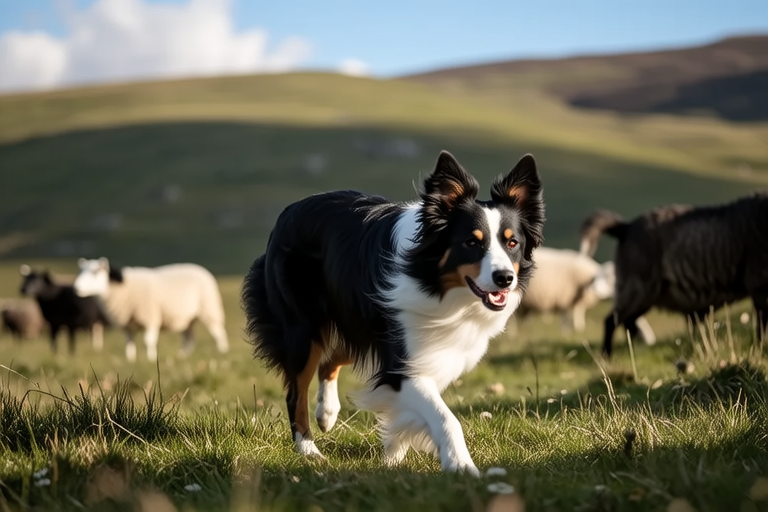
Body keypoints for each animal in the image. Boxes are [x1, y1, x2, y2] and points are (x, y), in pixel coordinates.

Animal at [73, 257, 230, 362]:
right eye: (81, 271)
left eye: (95, 272)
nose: (76, 287)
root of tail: (200, 269)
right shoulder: (128, 325)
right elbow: (129, 343)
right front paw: (130, 360)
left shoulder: (151, 318)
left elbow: (148, 341)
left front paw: (151, 359)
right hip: (186, 319)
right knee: (189, 337)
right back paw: (183, 355)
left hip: (209, 309)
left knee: (218, 332)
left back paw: (222, 351)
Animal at [580, 192, 768, 357]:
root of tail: (626, 227)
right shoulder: (758, 283)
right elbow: (762, 325)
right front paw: (760, 349)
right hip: (638, 285)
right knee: (612, 320)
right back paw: (607, 355)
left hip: (647, 294)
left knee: (628, 321)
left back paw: (637, 347)